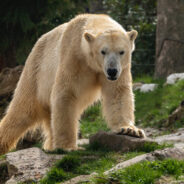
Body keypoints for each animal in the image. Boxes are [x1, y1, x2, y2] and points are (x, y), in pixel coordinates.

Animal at [0, 14, 145, 154]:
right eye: (103, 51)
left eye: (122, 51)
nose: (112, 71)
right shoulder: (73, 58)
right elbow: (66, 94)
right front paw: (68, 147)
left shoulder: (122, 69)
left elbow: (117, 93)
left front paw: (129, 130)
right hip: (36, 73)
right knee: (21, 111)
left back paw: (50, 145)